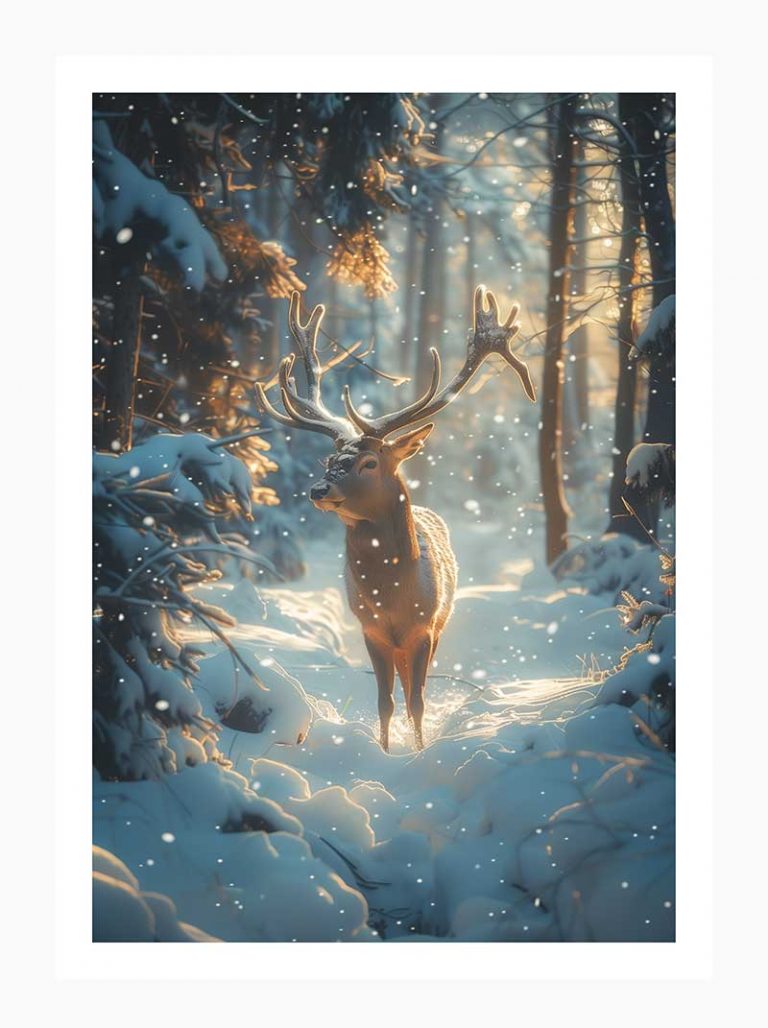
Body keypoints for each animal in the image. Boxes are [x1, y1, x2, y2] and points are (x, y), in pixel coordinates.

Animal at [255, 286, 536, 752]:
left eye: (369, 462)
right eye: (329, 459)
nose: (318, 490)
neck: (392, 597)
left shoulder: (424, 628)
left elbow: (416, 699)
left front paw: (418, 751)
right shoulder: (370, 630)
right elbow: (384, 702)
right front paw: (385, 750)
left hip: (442, 621)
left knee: (414, 688)